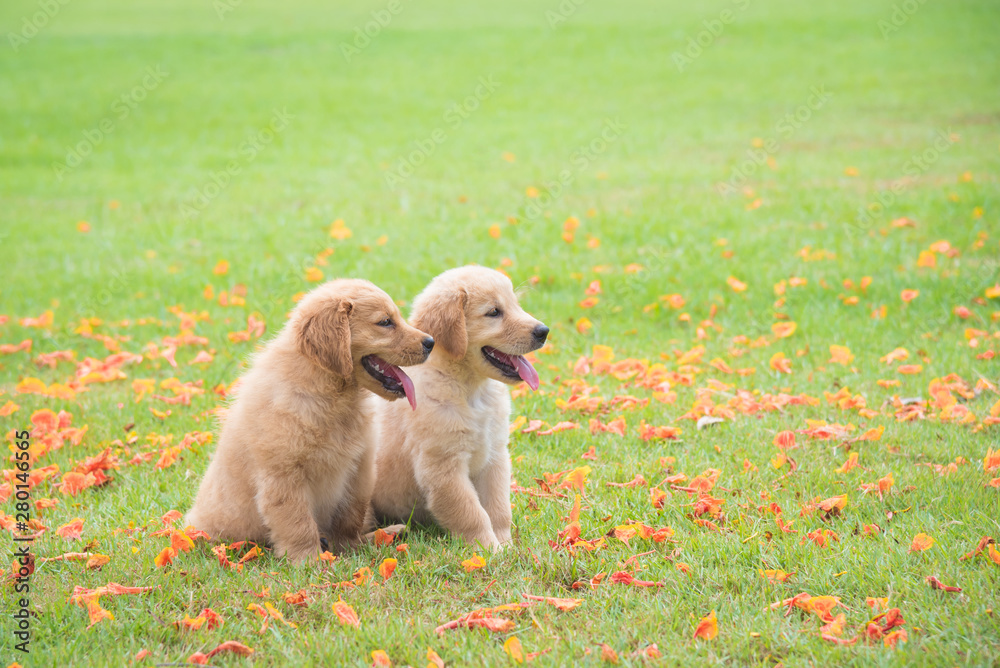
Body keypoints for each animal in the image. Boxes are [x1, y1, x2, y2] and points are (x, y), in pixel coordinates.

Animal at [187, 278, 434, 564]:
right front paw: (310, 561)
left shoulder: (359, 468)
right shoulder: (284, 476)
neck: (329, 395)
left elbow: (350, 516)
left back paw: (387, 533)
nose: (431, 342)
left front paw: (350, 547)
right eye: (385, 322)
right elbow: (298, 522)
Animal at [374, 266, 552, 548]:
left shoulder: (495, 455)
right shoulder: (444, 466)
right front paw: (490, 550)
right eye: (494, 312)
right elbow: (471, 513)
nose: (544, 331)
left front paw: (506, 545)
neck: (470, 390)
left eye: (515, 304)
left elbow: (499, 509)